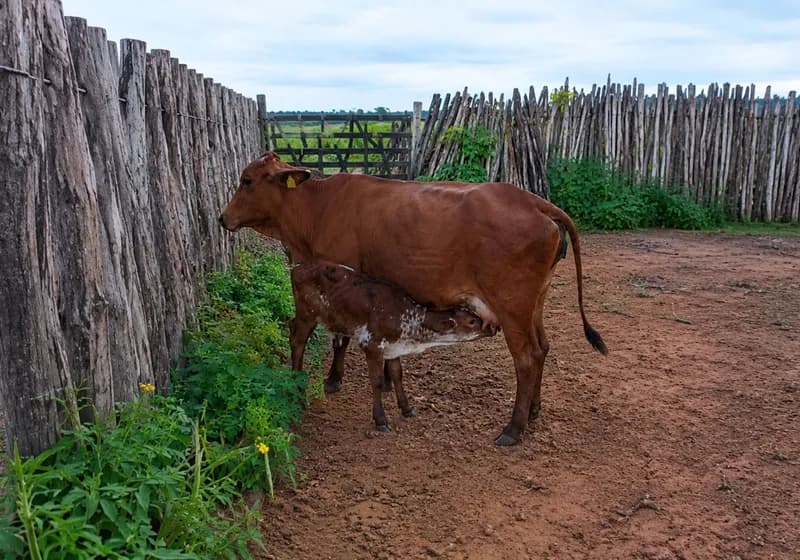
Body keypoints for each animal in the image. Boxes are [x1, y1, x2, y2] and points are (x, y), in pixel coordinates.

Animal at [289, 260, 492, 430]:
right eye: (471, 321)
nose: (491, 328)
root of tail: (297, 268)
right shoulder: (371, 345)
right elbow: (377, 381)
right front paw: (380, 419)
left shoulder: (394, 349)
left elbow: (397, 375)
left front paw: (407, 408)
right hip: (307, 314)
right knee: (297, 342)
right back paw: (298, 390)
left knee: (291, 328)